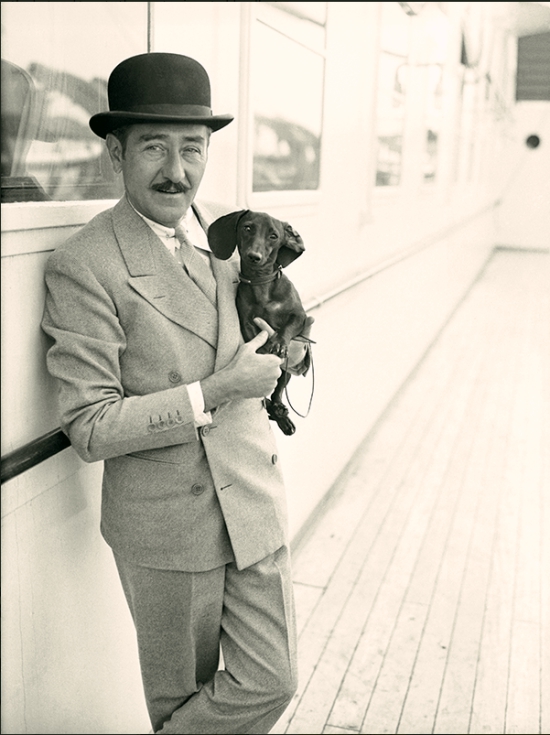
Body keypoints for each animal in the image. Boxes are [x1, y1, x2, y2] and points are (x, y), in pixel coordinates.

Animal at [208, 209, 311, 435]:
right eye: (247, 227)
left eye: (274, 236)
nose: (254, 257)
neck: (261, 284)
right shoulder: (246, 321)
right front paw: (264, 352)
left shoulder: (300, 316)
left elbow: (288, 327)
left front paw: (279, 343)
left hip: (285, 374)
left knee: (277, 393)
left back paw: (282, 414)